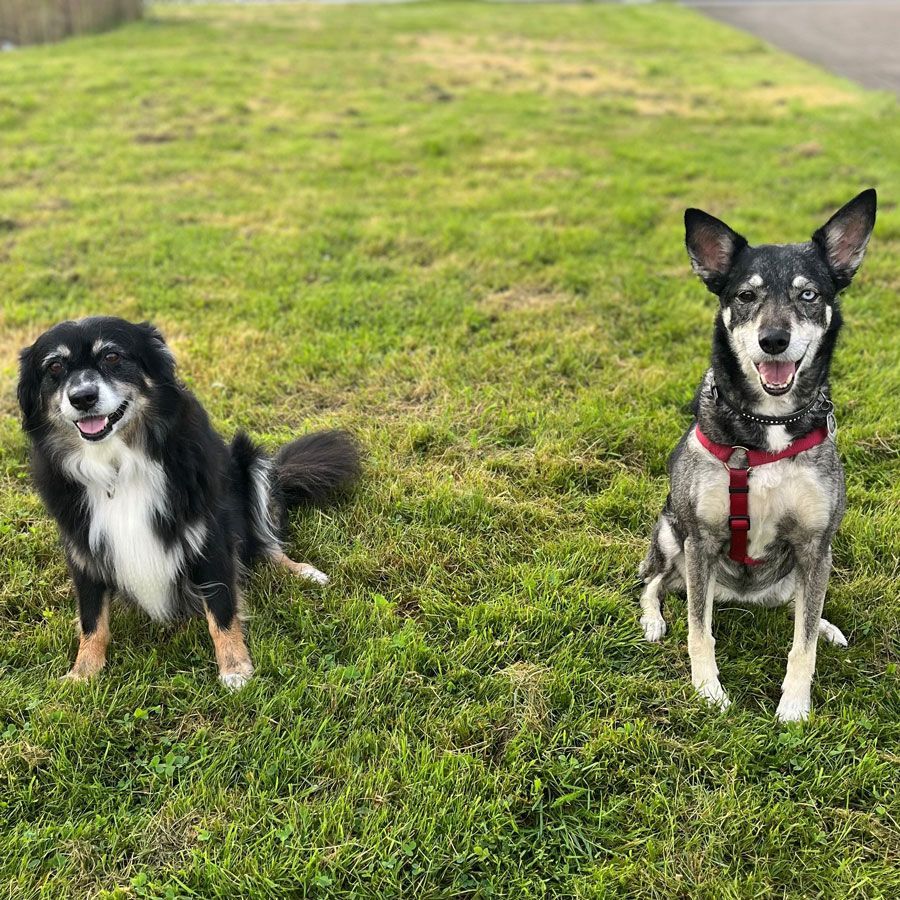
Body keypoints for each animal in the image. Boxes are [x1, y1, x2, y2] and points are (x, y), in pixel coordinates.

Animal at [17, 318, 358, 688]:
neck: (117, 465)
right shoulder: (83, 547)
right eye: (54, 367)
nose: (82, 398)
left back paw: (303, 571)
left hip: (252, 463)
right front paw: (84, 672)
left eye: (111, 356)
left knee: (266, 545)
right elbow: (92, 618)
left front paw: (235, 668)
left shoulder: (208, 536)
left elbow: (222, 608)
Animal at [640, 190, 880, 724]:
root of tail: (741, 596)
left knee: (799, 605)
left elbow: (803, 640)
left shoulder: (815, 545)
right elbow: (699, 631)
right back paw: (652, 621)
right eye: (745, 297)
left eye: (808, 295)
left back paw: (828, 627)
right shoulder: (700, 540)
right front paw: (707, 691)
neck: (768, 426)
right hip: (671, 534)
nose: (774, 340)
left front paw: (794, 704)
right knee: (655, 583)